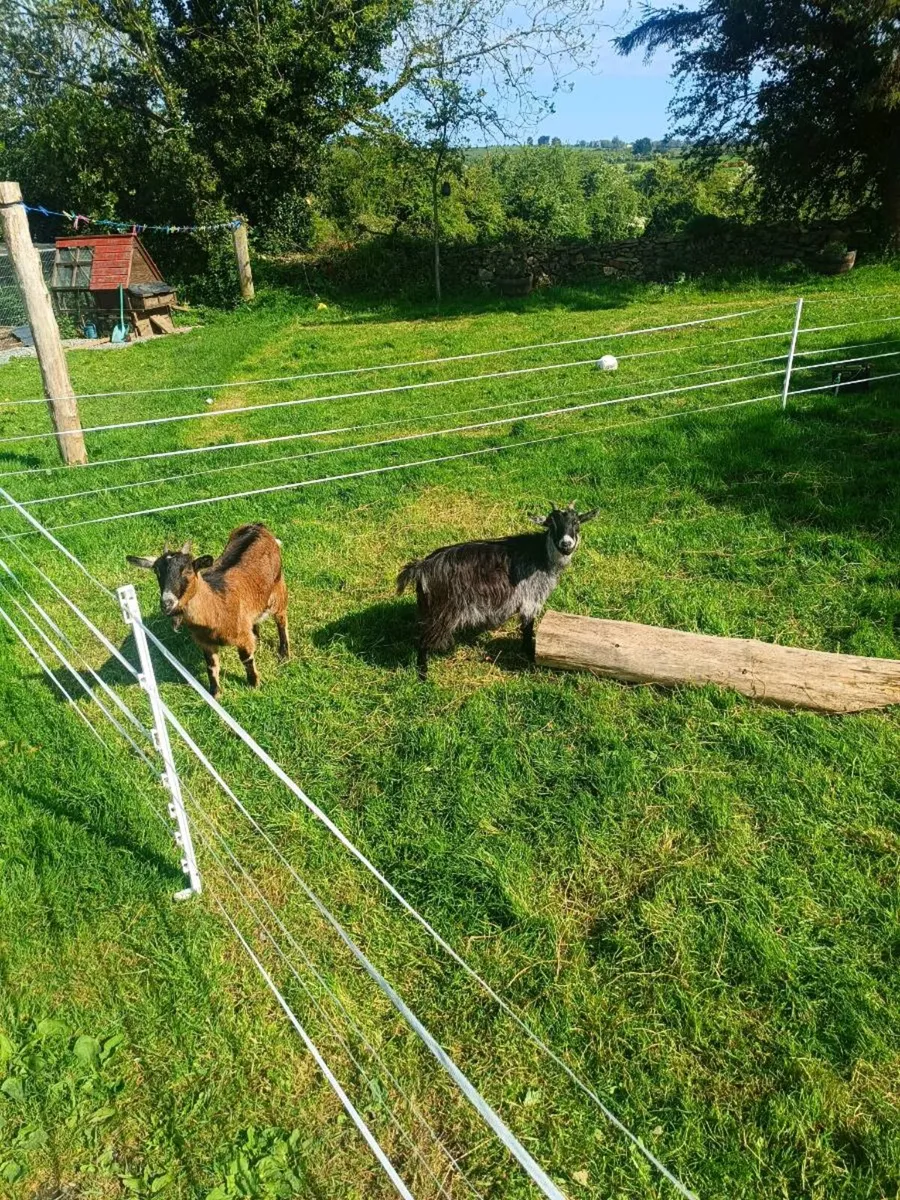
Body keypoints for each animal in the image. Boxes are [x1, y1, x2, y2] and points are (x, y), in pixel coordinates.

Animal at [127, 523, 289, 697]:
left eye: (188, 570)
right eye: (157, 571)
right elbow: (211, 666)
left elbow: (247, 660)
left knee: (281, 619)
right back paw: (257, 636)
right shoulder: (205, 642)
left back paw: (284, 654)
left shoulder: (242, 638)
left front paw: (254, 685)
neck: (215, 605)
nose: (167, 603)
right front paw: (215, 694)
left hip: (278, 588)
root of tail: (257, 526)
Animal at [397, 504, 597, 678]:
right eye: (551, 523)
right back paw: (423, 676)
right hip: (442, 613)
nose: (566, 544)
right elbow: (527, 627)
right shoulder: (531, 597)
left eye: (576, 523)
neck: (540, 554)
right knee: (423, 642)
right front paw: (529, 653)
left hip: (428, 610)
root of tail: (421, 568)